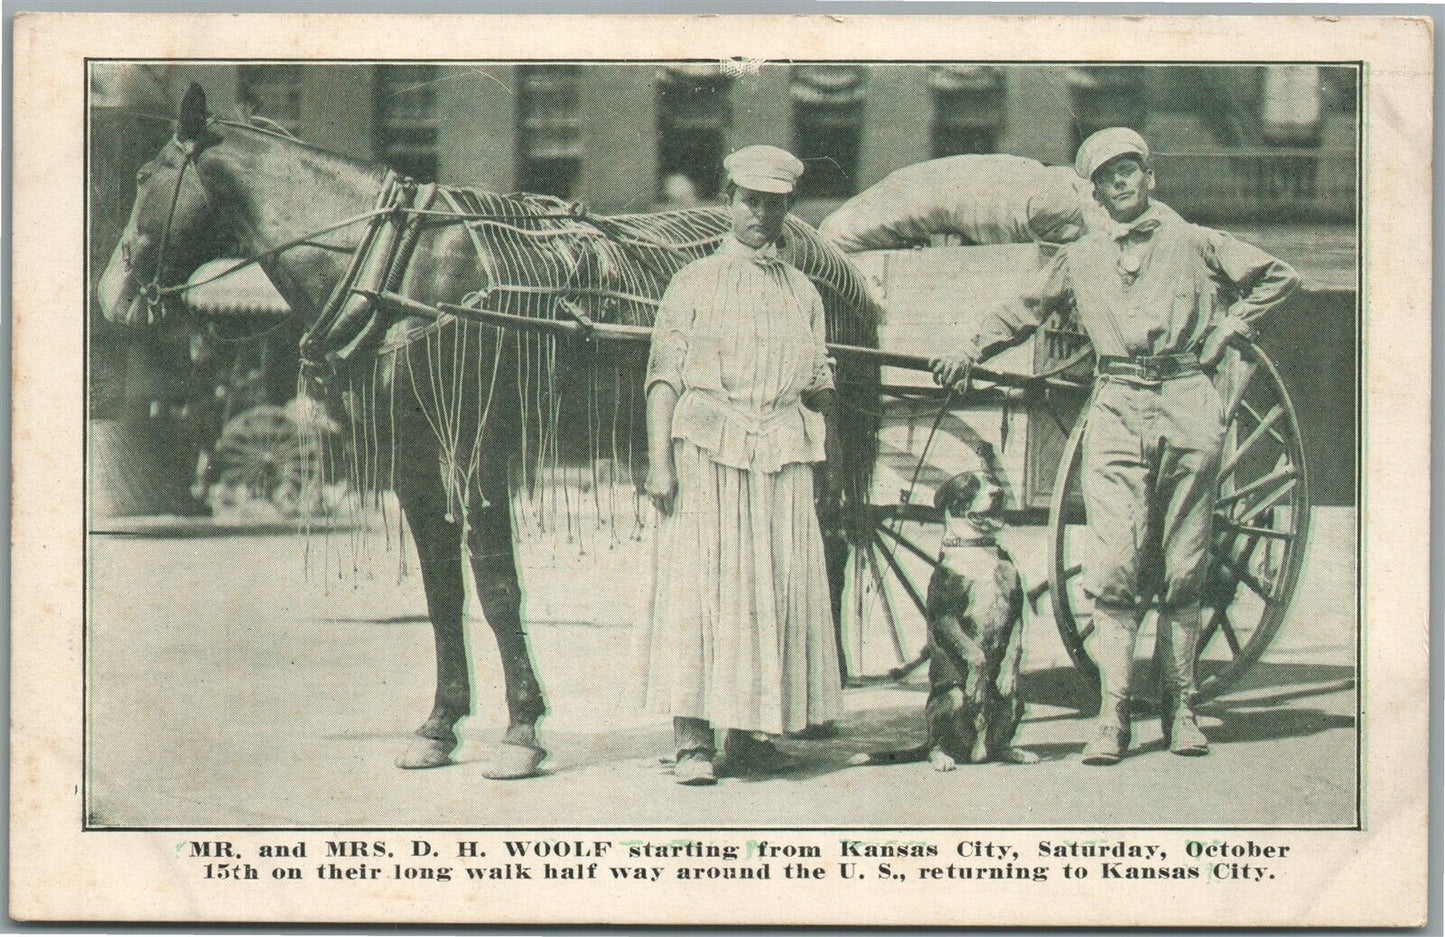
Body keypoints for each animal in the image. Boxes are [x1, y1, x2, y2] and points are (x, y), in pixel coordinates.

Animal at [96, 84, 878, 780]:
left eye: (143, 176)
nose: (112, 296)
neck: (397, 266)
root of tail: (820, 247)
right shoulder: (412, 459)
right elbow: (443, 591)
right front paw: (438, 726)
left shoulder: (478, 448)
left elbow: (498, 586)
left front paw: (522, 732)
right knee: (829, 535)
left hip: (830, 426)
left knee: (831, 535)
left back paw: (817, 701)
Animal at [843, 468, 1040, 769]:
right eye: (970, 485)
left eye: (993, 480)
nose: (998, 493)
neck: (976, 547)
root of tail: (976, 753)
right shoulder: (945, 617)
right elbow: (975, 653)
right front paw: (977, 685)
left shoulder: (1015, 608)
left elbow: (1015, 647)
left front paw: (1007, 676)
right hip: (950, 698)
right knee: (935, 745)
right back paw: (942, 758)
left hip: (1016, 702)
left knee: (1000, 742)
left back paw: (1015, 752)